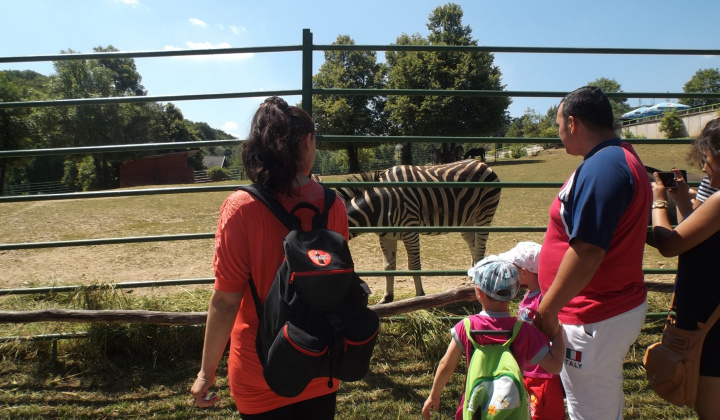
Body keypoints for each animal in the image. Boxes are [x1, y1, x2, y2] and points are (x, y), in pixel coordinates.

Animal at [336, 160, 500, 302]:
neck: (378, 204)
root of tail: (482, 163)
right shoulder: (386, 237)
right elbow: (388, 267)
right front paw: (386, 298)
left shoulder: (410, 232)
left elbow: (414, 266)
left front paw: (420, 296)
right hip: (467, 220)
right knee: (474, 246)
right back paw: (470, 280)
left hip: (485, 212)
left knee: (480, 247)